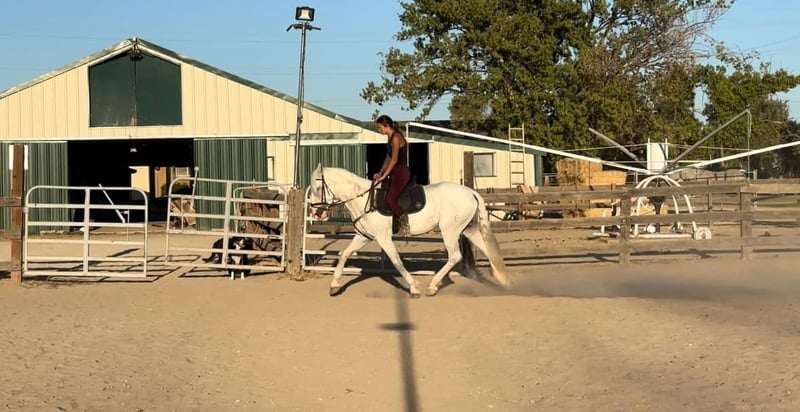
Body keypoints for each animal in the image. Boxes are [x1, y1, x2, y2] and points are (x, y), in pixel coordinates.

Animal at [308, 164, 513, 297]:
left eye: (318, 187)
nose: (317, 213)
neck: (364, 199)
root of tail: (470, 192)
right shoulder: (364, 236)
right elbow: (344, 254)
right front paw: (334, 286)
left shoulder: (383, 238)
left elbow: (396, 261)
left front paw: (414, 287)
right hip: (469, 230)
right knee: (488, 251)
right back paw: (504, 281)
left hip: (450, 231)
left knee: (455, 256)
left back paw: (432, 286)